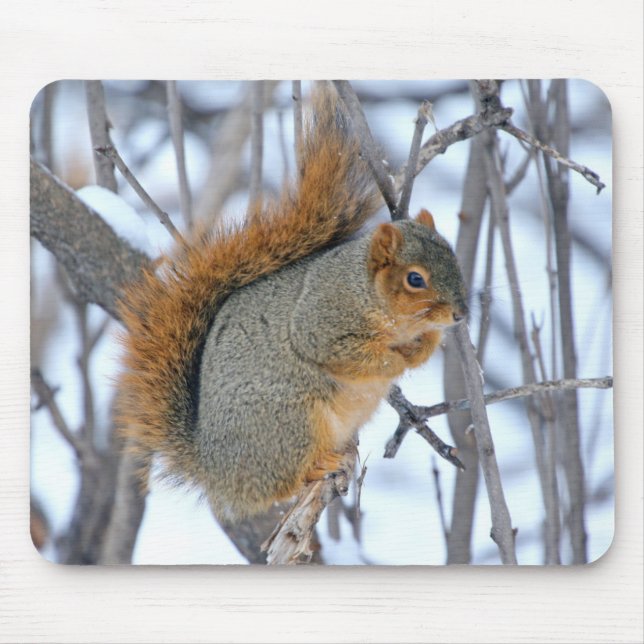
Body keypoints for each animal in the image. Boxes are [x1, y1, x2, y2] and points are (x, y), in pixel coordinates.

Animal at [117, 85, 467, 523]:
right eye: (415, 279)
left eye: (453, 255)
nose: (461, 314)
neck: (371, 296)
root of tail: (213, 469)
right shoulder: (321, 322)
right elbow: (346, 354)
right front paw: (395, 361)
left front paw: (422, 350)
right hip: (292, 422)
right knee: (278, 485)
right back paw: (316, 467)